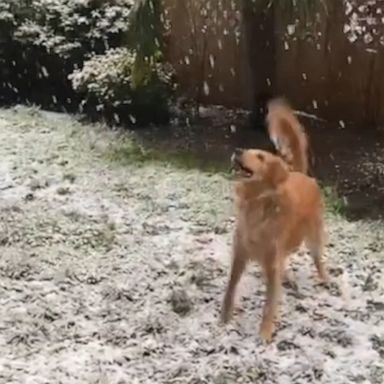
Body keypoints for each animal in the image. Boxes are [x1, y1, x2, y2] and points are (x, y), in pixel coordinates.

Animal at [220, 148, 328, 342]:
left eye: (261, 157)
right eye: (247, 150)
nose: (238, 151)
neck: (257, 204)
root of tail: (302, 174)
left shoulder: (272, 260)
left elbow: (270, 302)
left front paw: (265, 332)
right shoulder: (239, 254)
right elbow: (230, 288)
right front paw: (224, 318)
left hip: (311, 236)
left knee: (318, 260)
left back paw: (325, 279)